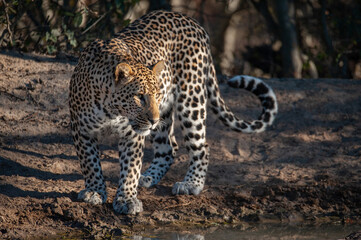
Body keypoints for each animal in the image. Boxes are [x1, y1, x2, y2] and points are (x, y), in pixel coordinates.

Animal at [70, 10, 278, 215]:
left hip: (191, 101)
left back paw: (191, 183)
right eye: (139, 96)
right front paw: (95, 191)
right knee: (168, 148)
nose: (153, 120)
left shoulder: (132, 135)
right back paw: (149, 177)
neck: (111, 110)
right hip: (167, 116)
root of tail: (193, 22)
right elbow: (90, 163)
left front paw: (127, 199)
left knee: (202, 146)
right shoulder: (81, 129)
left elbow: (130, 169)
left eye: (157, 94)